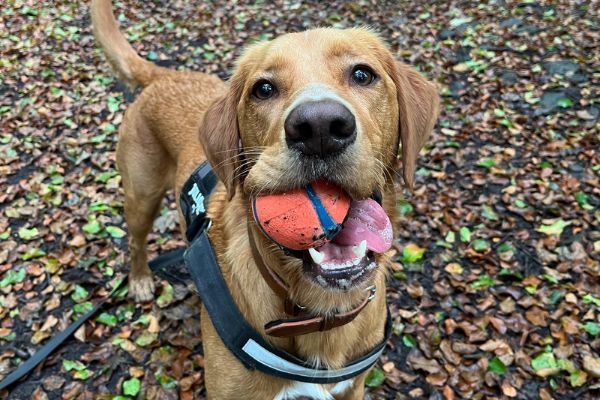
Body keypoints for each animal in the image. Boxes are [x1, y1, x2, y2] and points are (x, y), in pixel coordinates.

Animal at [92, 1, 440, 398]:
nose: (319, 128)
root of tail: (162, 75)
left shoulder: (352, 388)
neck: (320, 313)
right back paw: (139, 280)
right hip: (141, 195)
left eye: (363, 74)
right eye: (264, 88)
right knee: (135, 241)